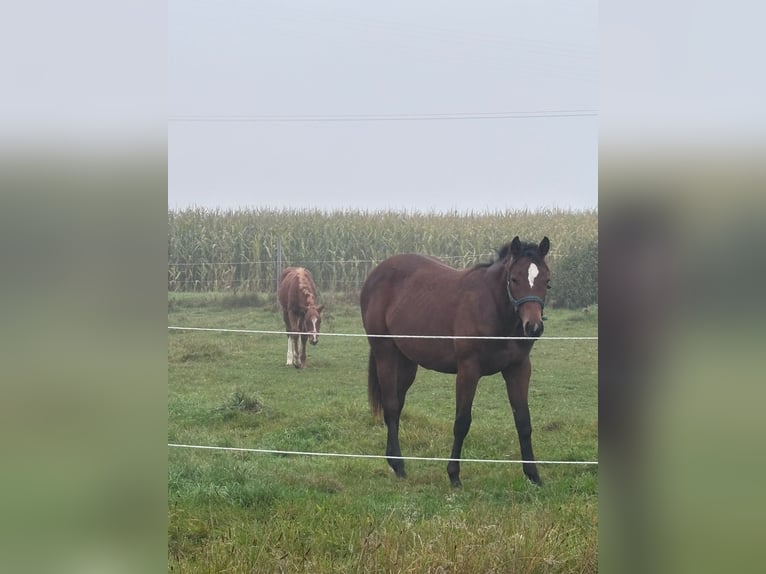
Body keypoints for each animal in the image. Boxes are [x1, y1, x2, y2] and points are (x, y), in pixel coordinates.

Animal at [360, 236, 551, 487]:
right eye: (514, 279)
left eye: (547, 281)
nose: (533, 327)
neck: (492, 308)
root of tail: (374, 274)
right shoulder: (468, 370)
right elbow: (462, 422)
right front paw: (453, 475)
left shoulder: (518, 368)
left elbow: (523, 421)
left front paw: (534, 476)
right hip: (385, 352)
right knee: (391, 406)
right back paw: (399, 465)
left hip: (407, 362)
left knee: (398, 405)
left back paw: (394, 463)